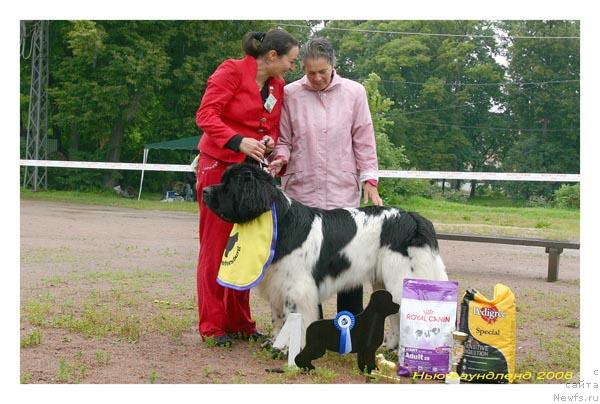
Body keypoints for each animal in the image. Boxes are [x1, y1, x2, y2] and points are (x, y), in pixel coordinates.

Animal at [204, 164, 448, 350]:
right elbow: (278, 318)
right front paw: (274, 343)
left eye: (230, 184)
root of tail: (415, 219)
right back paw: (389, 347)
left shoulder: (297, 288)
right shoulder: (277, 282)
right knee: (396, 314)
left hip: (401, 278)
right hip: (384, 282)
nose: (205, 191)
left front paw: (285, 350)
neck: (281, 221)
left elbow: (293, 318)